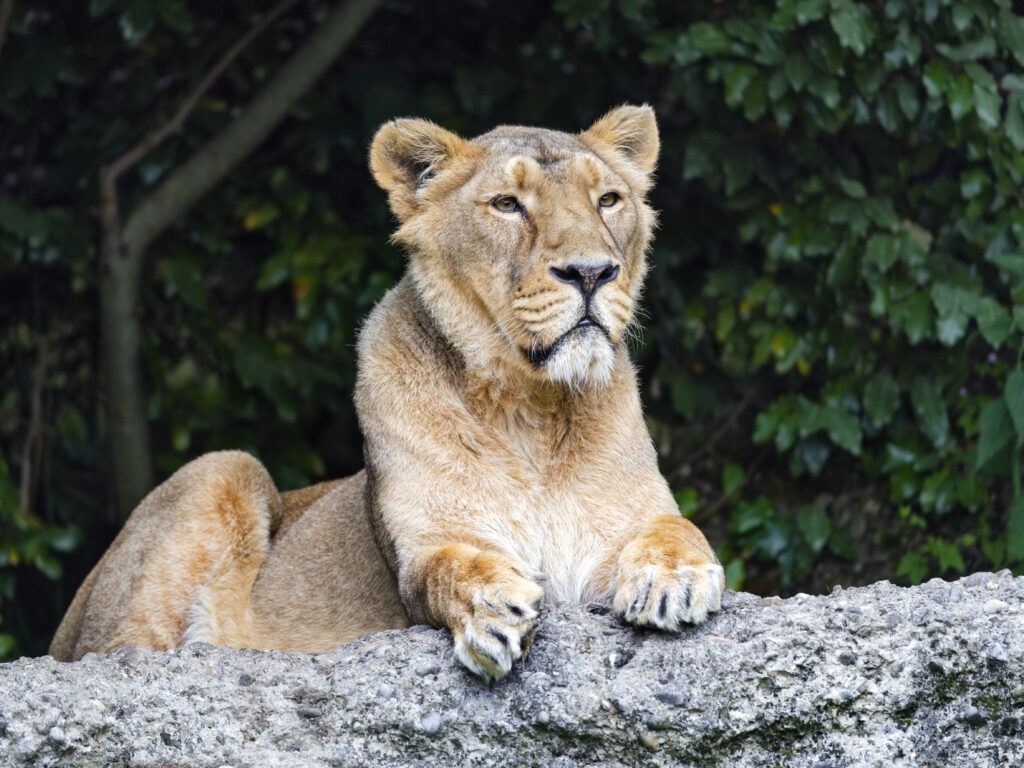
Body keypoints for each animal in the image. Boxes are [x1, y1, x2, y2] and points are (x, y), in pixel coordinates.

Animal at [50, 105, 725, 681]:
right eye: (507, 204)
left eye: (608, 199)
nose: (591, 272)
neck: (529, 408)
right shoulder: (423, 547)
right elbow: (450, 568)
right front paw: (493, 608)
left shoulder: (627, 524)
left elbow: (677, 525)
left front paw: (676, 578)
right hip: (222, 471)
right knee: (117, 657)